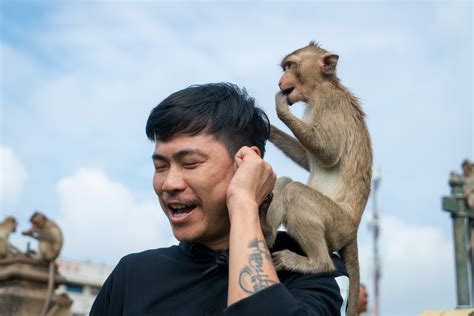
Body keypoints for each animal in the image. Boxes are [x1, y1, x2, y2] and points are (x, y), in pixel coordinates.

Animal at [264, 42, 372, 316]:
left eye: (290, 66)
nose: (280, 81)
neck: (323, 86)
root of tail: (353, 229)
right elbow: (306, 157)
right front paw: (268, 128)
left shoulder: (328, 105)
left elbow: (329, 153)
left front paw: (280, 109)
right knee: (285, 185)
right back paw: (267, 232)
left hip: (336, 224)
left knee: (296, 194)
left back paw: (317, 264)